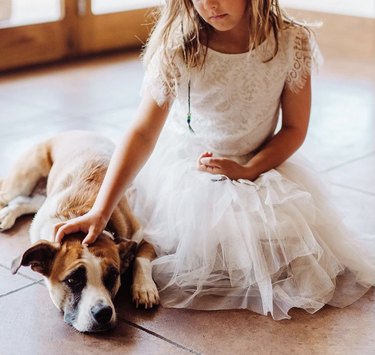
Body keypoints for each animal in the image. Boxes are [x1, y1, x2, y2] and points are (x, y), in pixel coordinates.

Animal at [0, 131, 160, 334]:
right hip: (20, 183)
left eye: (113, 276)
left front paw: (145, 288)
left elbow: (141, 257)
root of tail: (74, 131)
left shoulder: (143, 238)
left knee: (26, 201)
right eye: (72, 280)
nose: (103, 313)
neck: (79, 215)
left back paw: (8, 214)